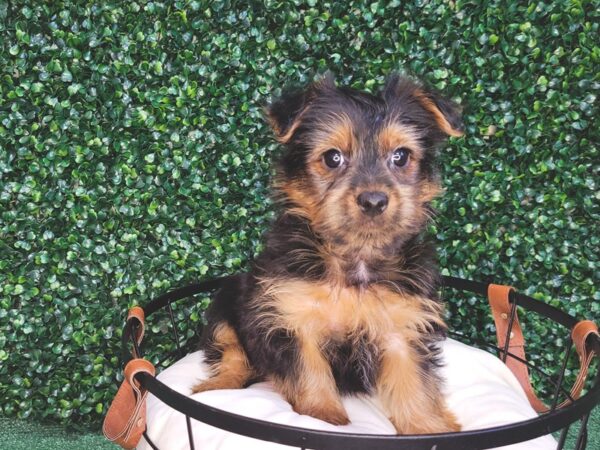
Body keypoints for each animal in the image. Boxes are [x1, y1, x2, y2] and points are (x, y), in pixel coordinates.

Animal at [192, 73, 464, 432]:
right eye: (333, 158)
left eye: (401, 156)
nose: (374, 200)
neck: (355, 256)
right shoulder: (290, 316)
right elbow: (309, 371)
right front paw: (324, 417)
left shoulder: (404, 326)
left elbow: (414, 383)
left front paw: (428, 428)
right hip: (228, 301)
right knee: (233, 352)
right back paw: (217, 386)